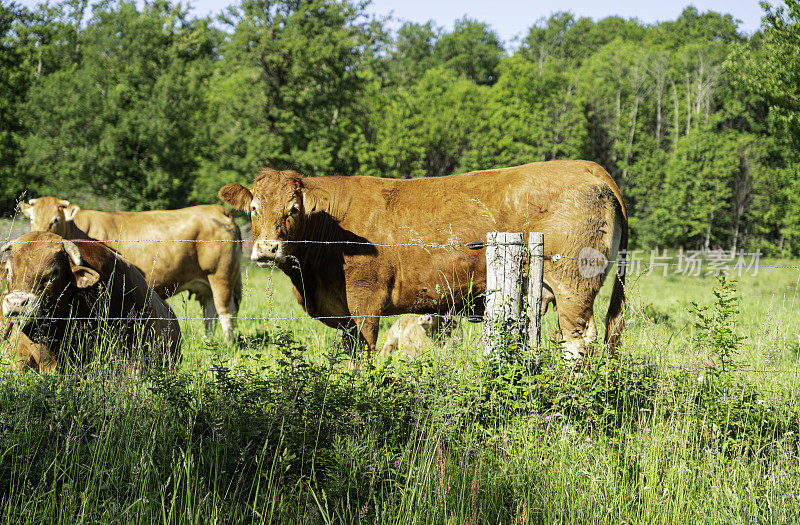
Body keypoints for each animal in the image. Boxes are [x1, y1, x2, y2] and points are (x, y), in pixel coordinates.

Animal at [18, 198, 242, 340]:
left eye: (55, 219)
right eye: (32, 219)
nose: (41, 234)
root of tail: (217, 209)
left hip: (221, 275)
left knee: (225, 311)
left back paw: (227, 343)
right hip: (205, 284)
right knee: (210, 313)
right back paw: (208, 341)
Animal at [217, 160, 624, 360]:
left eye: (294, 209)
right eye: (253, 209)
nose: (267, 250)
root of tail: (589, 167)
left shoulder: (366, 303)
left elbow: (365, 357)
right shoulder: (344, 314)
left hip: (573, 284)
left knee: (578, 341)